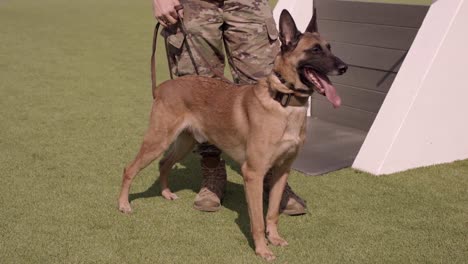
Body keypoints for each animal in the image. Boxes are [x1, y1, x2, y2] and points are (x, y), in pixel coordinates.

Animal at [119, 9, 348, 260]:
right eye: (315, 50)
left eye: (329, 47)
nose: (344, 67)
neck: (283, 102)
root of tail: (162, 87)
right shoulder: (253, 174)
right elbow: (257, 220)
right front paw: (262, 249)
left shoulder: (281, 171)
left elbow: (272, 213)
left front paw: (275, 238)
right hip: (158, 141)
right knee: (129, 169)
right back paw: (124, 204)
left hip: (183, 143)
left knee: (164, 163)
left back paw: (166, 193)